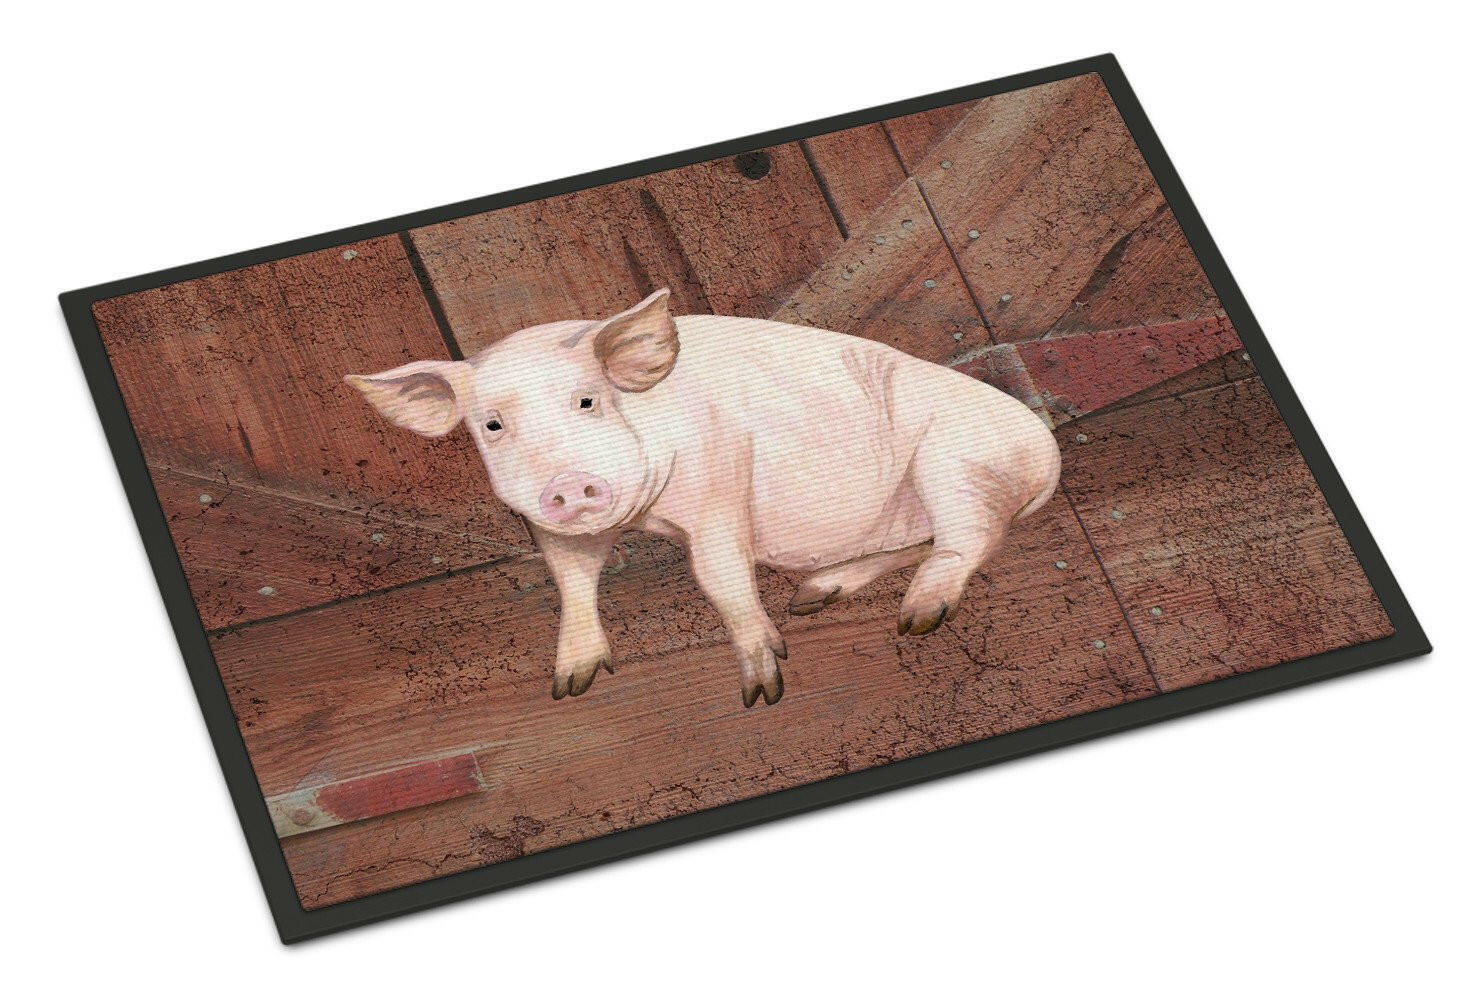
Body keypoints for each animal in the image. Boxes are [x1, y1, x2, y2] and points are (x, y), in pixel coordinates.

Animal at [347, 289, 1060, 707]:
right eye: (492, 425)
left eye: (588, 401)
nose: (566, 482)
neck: (647, 519)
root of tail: (1046, 450)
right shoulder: (550, 527)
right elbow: (571, 581)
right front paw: (569, 687)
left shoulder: (721, 481)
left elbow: (720, 577)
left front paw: (765, 691)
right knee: (927, 542)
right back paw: (815, 595)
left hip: (959, 461)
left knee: (972, 540)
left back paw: (914, 620)